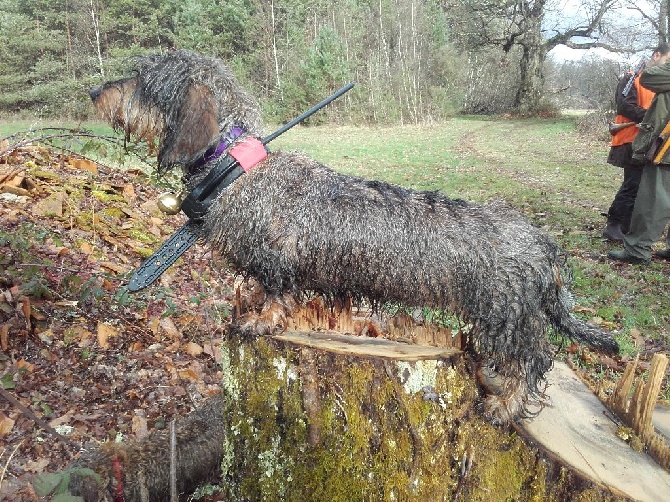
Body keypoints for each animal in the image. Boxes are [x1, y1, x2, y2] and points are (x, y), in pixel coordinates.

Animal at [89, 50, 620, 424]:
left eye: (144, 79)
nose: (94, 92)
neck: (236, 167)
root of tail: (542, 243)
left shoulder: (278, 265)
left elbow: (277, 294)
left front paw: (262, 319)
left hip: (504, 318)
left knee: (534, 360)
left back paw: (505, 407)